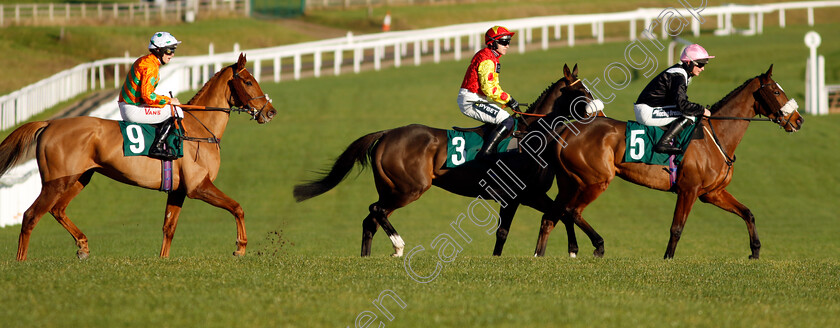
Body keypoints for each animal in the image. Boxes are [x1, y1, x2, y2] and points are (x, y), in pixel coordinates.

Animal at [0, 53, 278, 262]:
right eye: (249, 82)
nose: (270, 111)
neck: (198, 130)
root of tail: (49, 123)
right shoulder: (199, 187)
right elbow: (237, 207)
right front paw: (240, 247)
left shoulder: (178, 191)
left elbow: (169, 228)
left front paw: (163, 260)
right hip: (56, 181)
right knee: (31, 215)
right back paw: (21, 262)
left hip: (79, 178)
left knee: (57, 210)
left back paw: (83, 246)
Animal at [292, 64, 600, 256]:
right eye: (581, 91)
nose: (597, 110)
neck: (531, 137)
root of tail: (388, 133)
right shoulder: (517, 196)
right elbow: (507, 231)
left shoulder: (530, 195)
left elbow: (561, 213)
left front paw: (576, 250)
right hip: (409, 189)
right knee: (376, 210)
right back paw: (399, 247)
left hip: (391, 189)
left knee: (371, 220)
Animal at [536, 64, 804, 258]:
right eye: (777, 91)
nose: (798, 120)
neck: (716, 136)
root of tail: (566, 131)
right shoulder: (689, 190)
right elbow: (677, 228)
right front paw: (668, 258)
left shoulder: (712, 193)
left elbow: (748, 213)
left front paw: (755, 251)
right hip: (595, 180)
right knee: (572, 211)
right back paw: (598, 245)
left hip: (569, 183)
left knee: (551, 217)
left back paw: (540, 255)